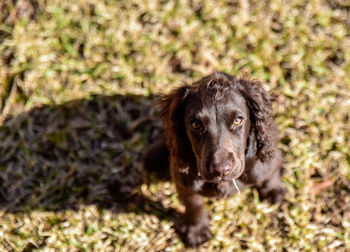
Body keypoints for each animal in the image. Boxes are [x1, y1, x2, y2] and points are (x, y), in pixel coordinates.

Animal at [144, 71, 286, 246]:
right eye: (195, 125)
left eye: (237, 120)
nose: (221, 170)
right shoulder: (184, 183)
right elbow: (194, 205)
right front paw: (197, 230)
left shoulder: (264, 166)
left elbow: (272, 173)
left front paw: (274, 190)